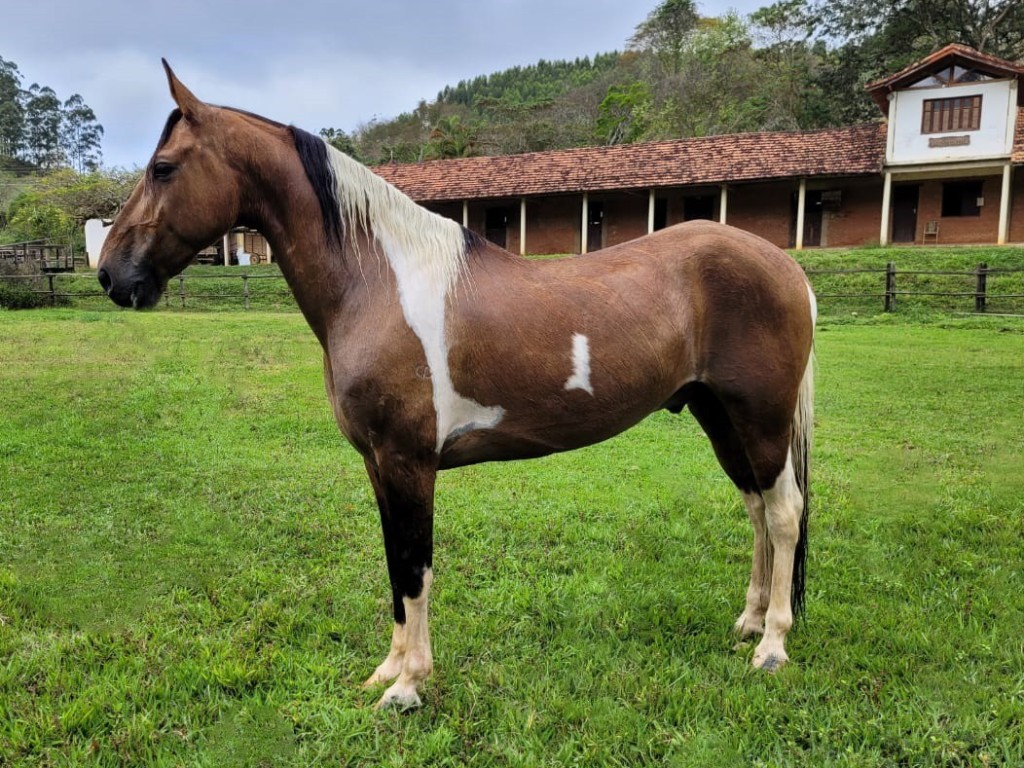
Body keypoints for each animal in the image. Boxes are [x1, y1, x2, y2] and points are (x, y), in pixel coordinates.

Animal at [97, 63, 815, 712]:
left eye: (164, 168)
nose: (110, 274)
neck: (376, 283)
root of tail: (785, 266)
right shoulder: (379, 465)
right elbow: (395, 566)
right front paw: (386, 674)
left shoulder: (408, 460)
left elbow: (416, 568)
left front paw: (409, 688)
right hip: (720, 417)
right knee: (756, 508)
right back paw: (749, 622)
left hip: (761, 417)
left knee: (783, 513)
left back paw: (772, 647)